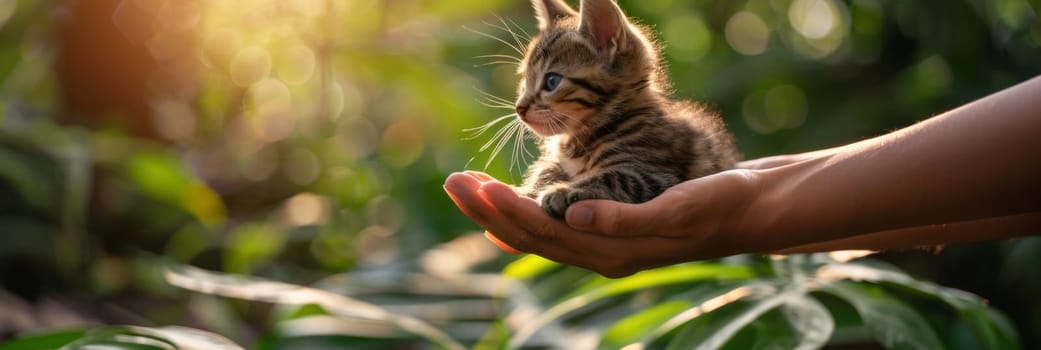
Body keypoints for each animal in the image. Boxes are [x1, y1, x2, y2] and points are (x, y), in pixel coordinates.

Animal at [512, 0, 741, 217]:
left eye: (552, 81)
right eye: (525, 80)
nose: (519, 108)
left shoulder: (657, 176)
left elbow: (615, 179)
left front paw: (562, 192)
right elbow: (546, 168)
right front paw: (532, 187)